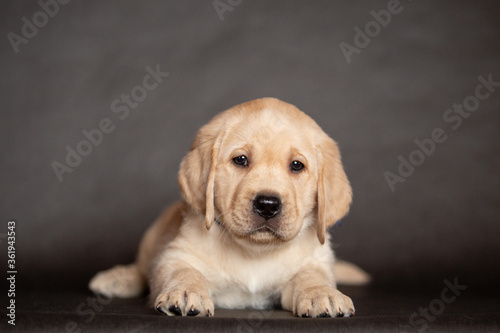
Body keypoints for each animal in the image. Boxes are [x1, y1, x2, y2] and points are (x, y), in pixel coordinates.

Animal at [90, 98, 368, 316]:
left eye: (297, 165)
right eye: (241, 160)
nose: (268, 205)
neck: (254, 252)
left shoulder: (315, 260)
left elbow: (311, 276)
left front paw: (323, 293)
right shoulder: (178, 253)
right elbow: (182, 271)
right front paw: (185, 291)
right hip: (152, 238)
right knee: (141, 269)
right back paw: (117, 279)